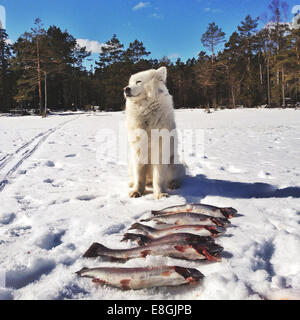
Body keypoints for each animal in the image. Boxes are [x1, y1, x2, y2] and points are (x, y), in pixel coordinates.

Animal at [123, 66, 185, 199]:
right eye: (130, 83)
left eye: (138, 82)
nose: (126, 89)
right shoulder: (138, 151)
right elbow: (139, 176)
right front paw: (137, 191)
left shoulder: (160, 152)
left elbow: (159, 178)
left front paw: (160, 194)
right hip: (131, 163)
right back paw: (131, 183)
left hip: (174, 163)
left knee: (175, 178)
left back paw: (173, 184)